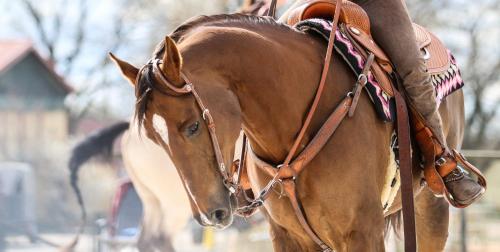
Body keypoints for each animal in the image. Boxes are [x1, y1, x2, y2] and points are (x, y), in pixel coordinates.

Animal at [111, 14, 462, 252]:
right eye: (154, 139)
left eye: (193, 126)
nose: (210, 215)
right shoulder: (288, 235)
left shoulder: (363, 231)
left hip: (430, 205)